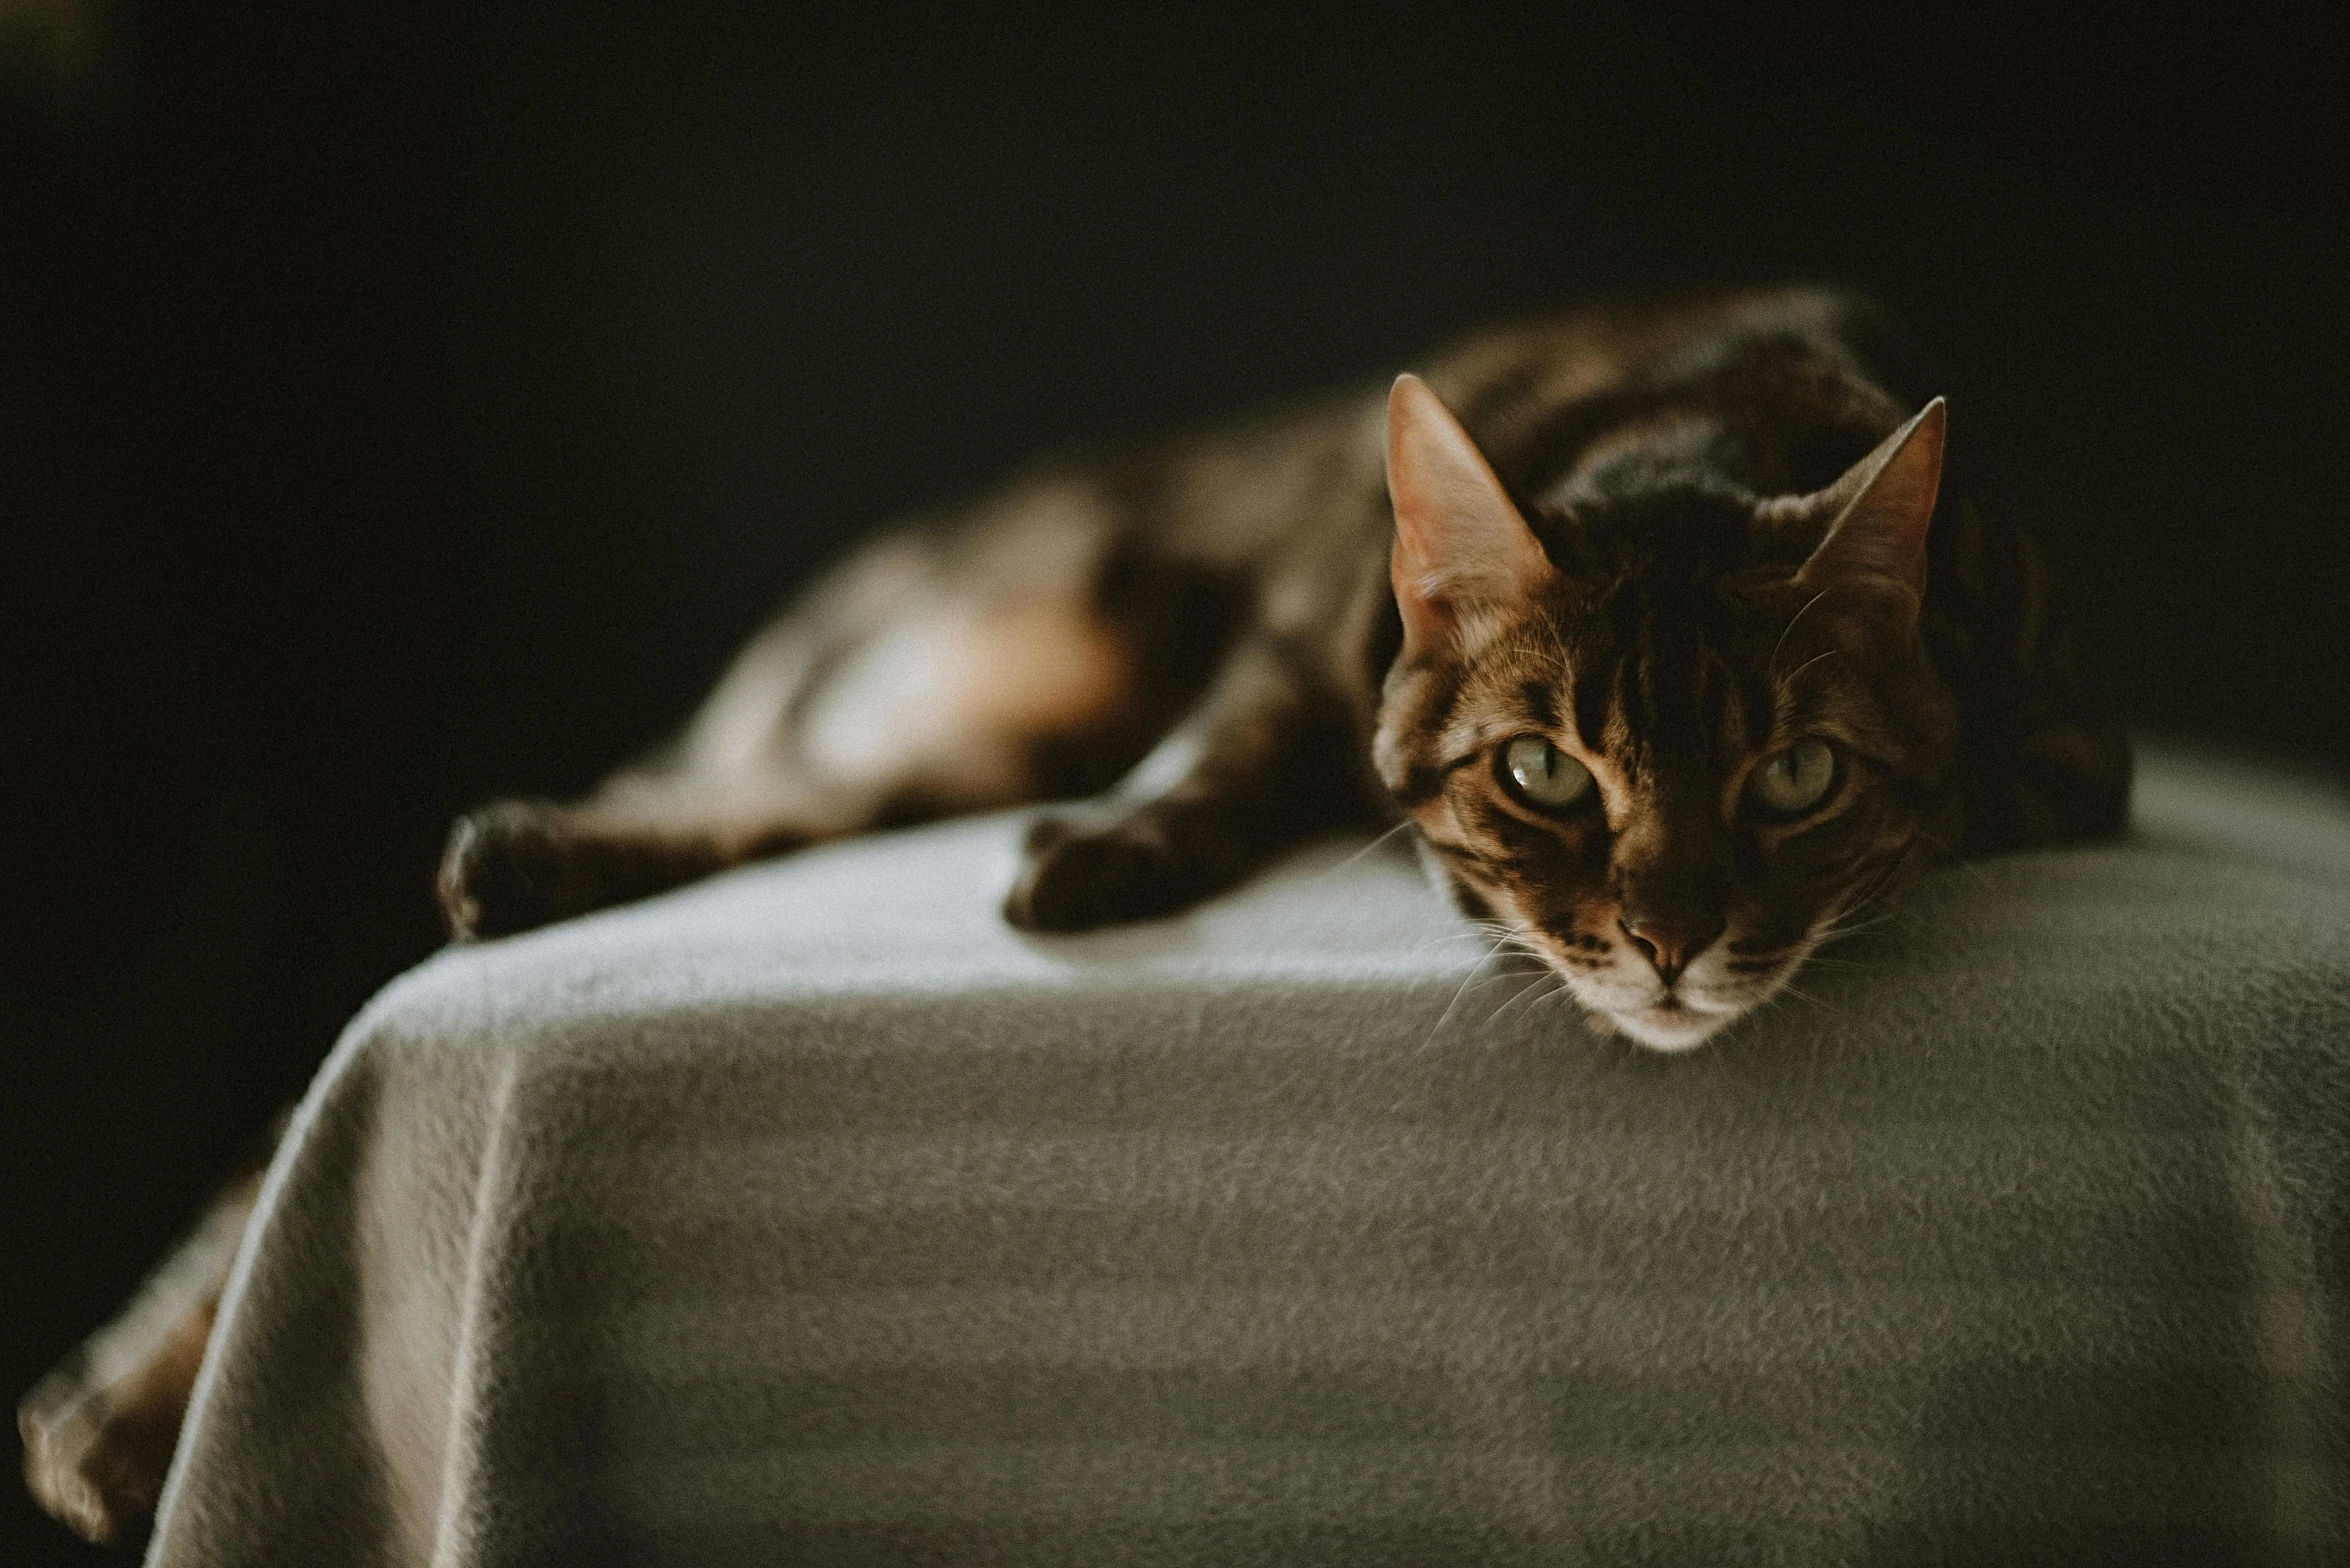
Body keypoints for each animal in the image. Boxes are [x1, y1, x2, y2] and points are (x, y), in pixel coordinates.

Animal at [18, 285, 2133, 1542]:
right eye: (1546, 772)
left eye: (1795, 779)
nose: (1674, 940)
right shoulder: (1305, 619)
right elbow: (1243, 744)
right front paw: (1119, 852)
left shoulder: (2072, 754)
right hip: (960, 676)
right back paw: (118, 1394)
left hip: (942, 736)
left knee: (759, 818)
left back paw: (532, 860)